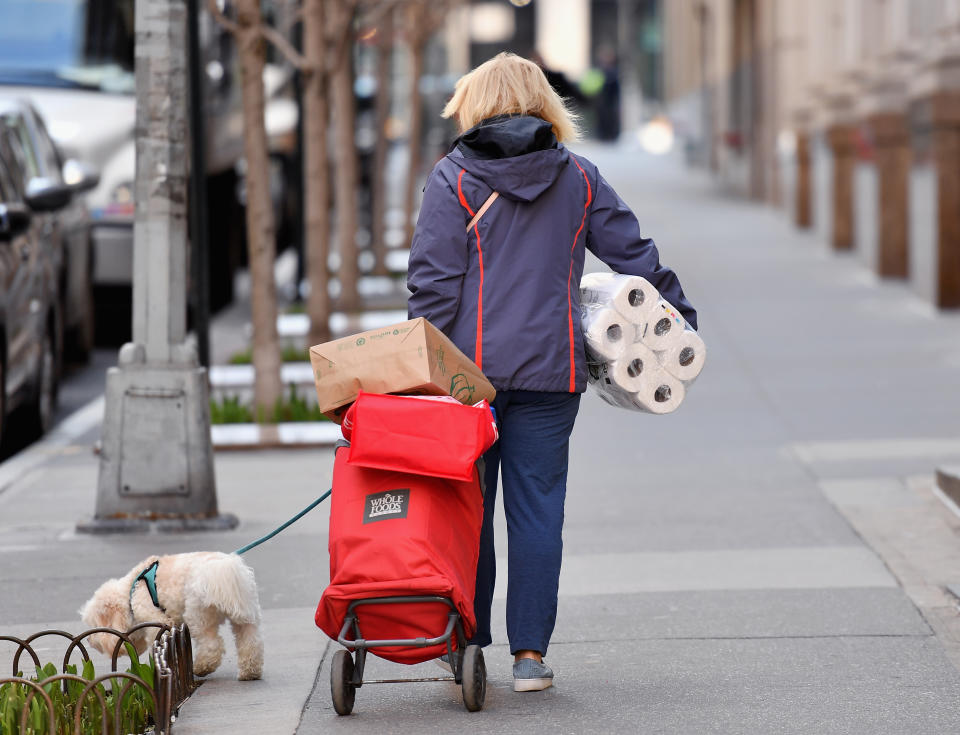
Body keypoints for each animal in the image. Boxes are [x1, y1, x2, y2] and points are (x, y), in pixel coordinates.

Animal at [80, 548, 262, 680]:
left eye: (94, 624)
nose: (89, 640)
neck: (131, 591)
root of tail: (222, 569)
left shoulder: (156, 619)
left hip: (198, 614)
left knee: (212, 645)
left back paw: (202, 667)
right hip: (247, 613)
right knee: (251, 641)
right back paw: (250, 671)